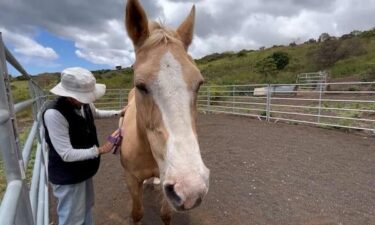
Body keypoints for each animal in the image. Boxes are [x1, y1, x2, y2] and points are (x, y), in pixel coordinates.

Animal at [119, 0, 210, 224]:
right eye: (140, 85)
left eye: (199, 84)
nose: (191, 189)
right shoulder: (131, 179)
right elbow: (137, 213)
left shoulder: (167, 183)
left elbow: (166, 214)